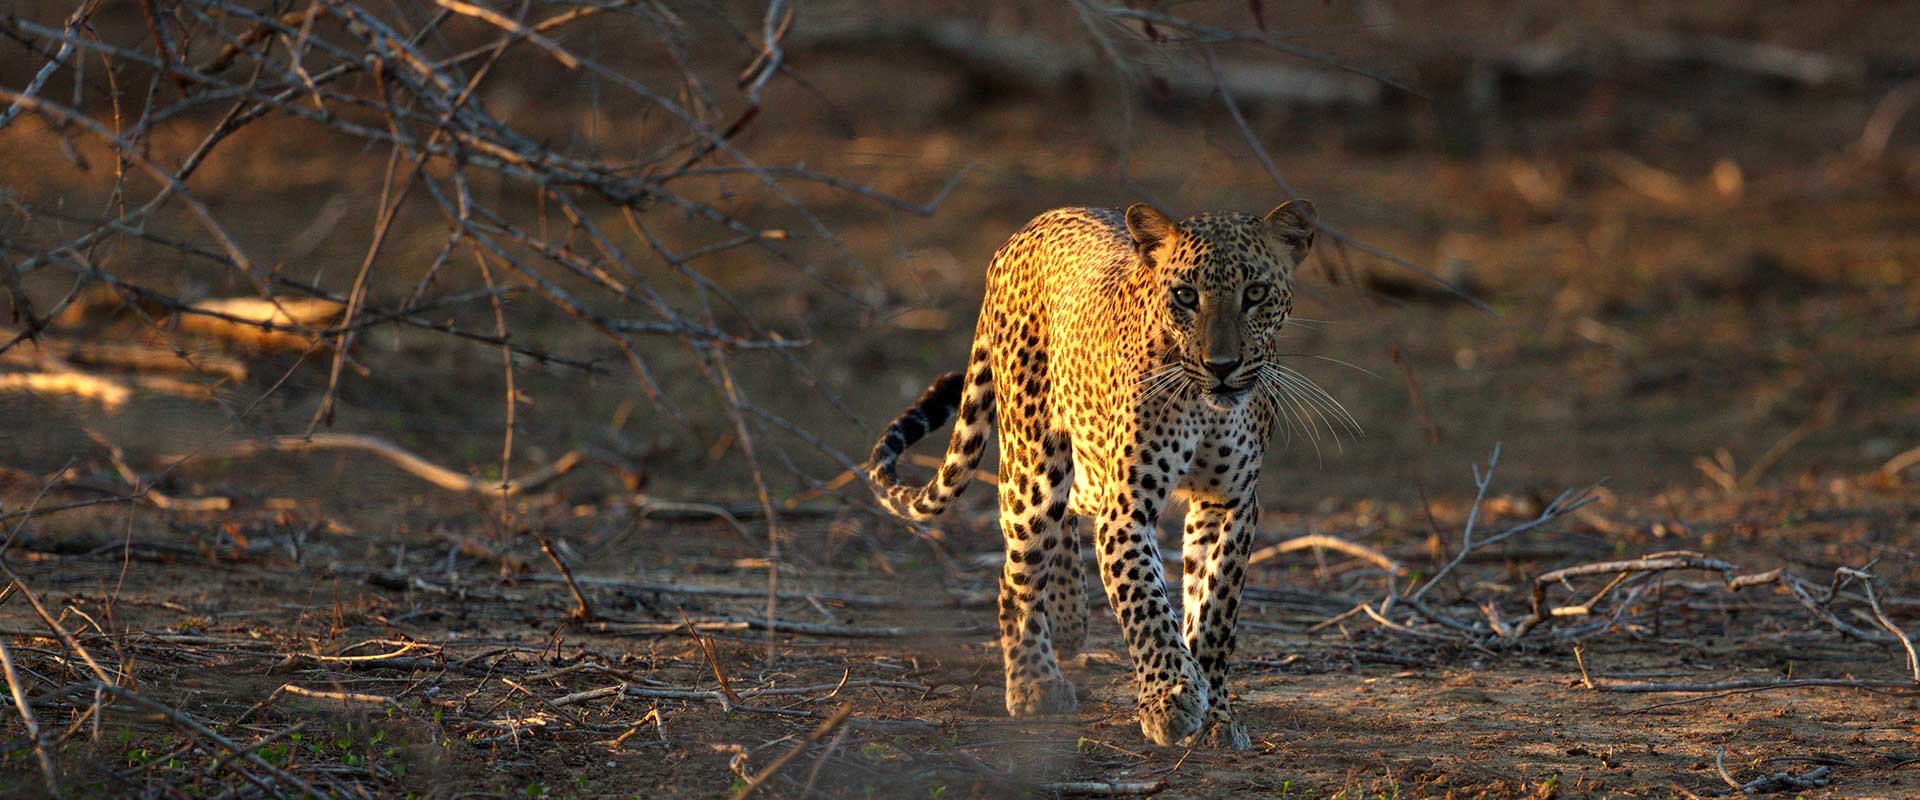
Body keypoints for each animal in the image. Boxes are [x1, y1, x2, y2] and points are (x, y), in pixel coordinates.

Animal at [867, 196, 1320, 744]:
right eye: (1185, 295)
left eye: (1255, 293)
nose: (1222, 366)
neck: (1207, 406)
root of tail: (1023, 232)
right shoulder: (1127, 505)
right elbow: (1145, 601)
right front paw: (1169, 699)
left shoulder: (1229, 502)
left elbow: (1215, 610)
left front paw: (1215, 713)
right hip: (1031, 466)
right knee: (1015, 577)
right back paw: (1034, 681)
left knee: (1069, 510)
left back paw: (1067, 616)